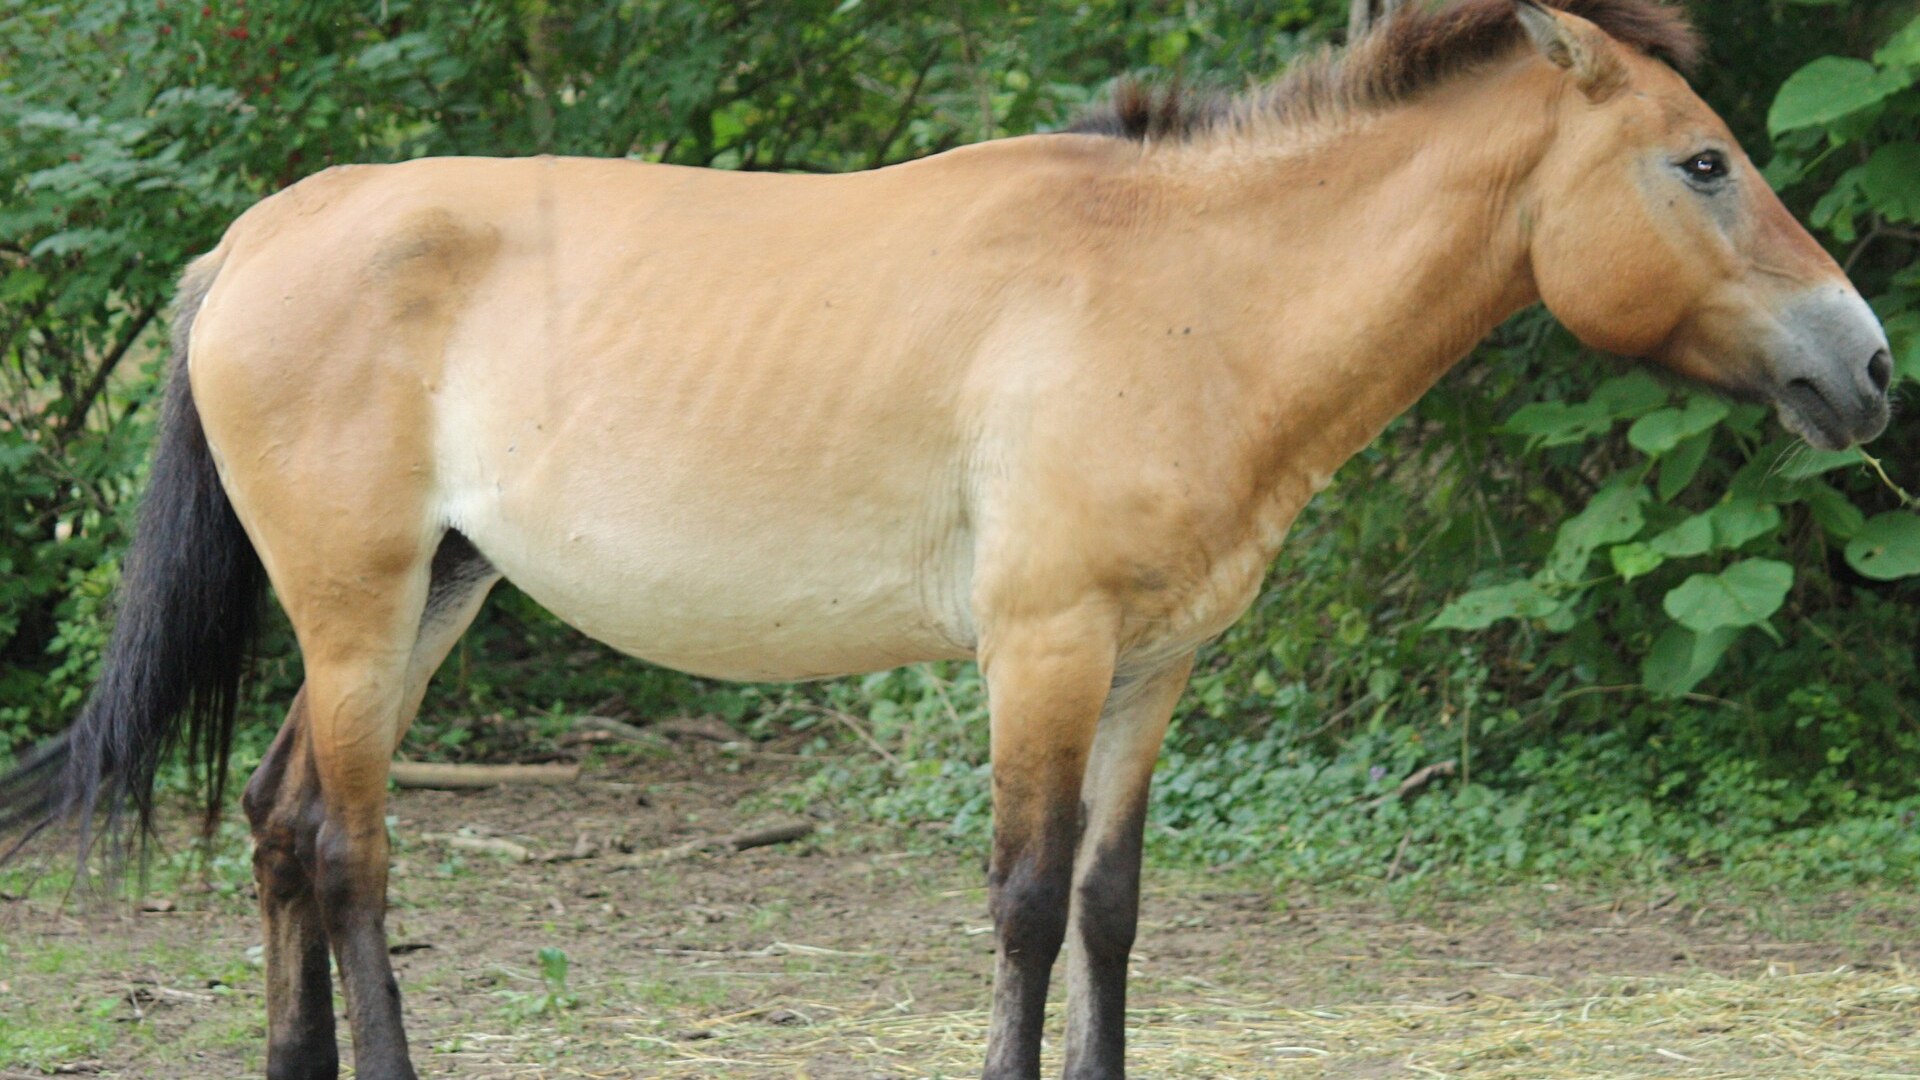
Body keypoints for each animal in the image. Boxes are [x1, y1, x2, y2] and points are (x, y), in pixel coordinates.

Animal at [0, 1, 1893, 1077]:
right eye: (1705, 164)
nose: (1869, 367)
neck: (1189, 297)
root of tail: (253, 241)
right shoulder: (1043, 649)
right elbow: (1027, 904)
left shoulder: (1155, 665)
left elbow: (1113, 908)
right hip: (356, 602)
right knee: (347, 853)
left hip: (429, 604)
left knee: (278, 823)